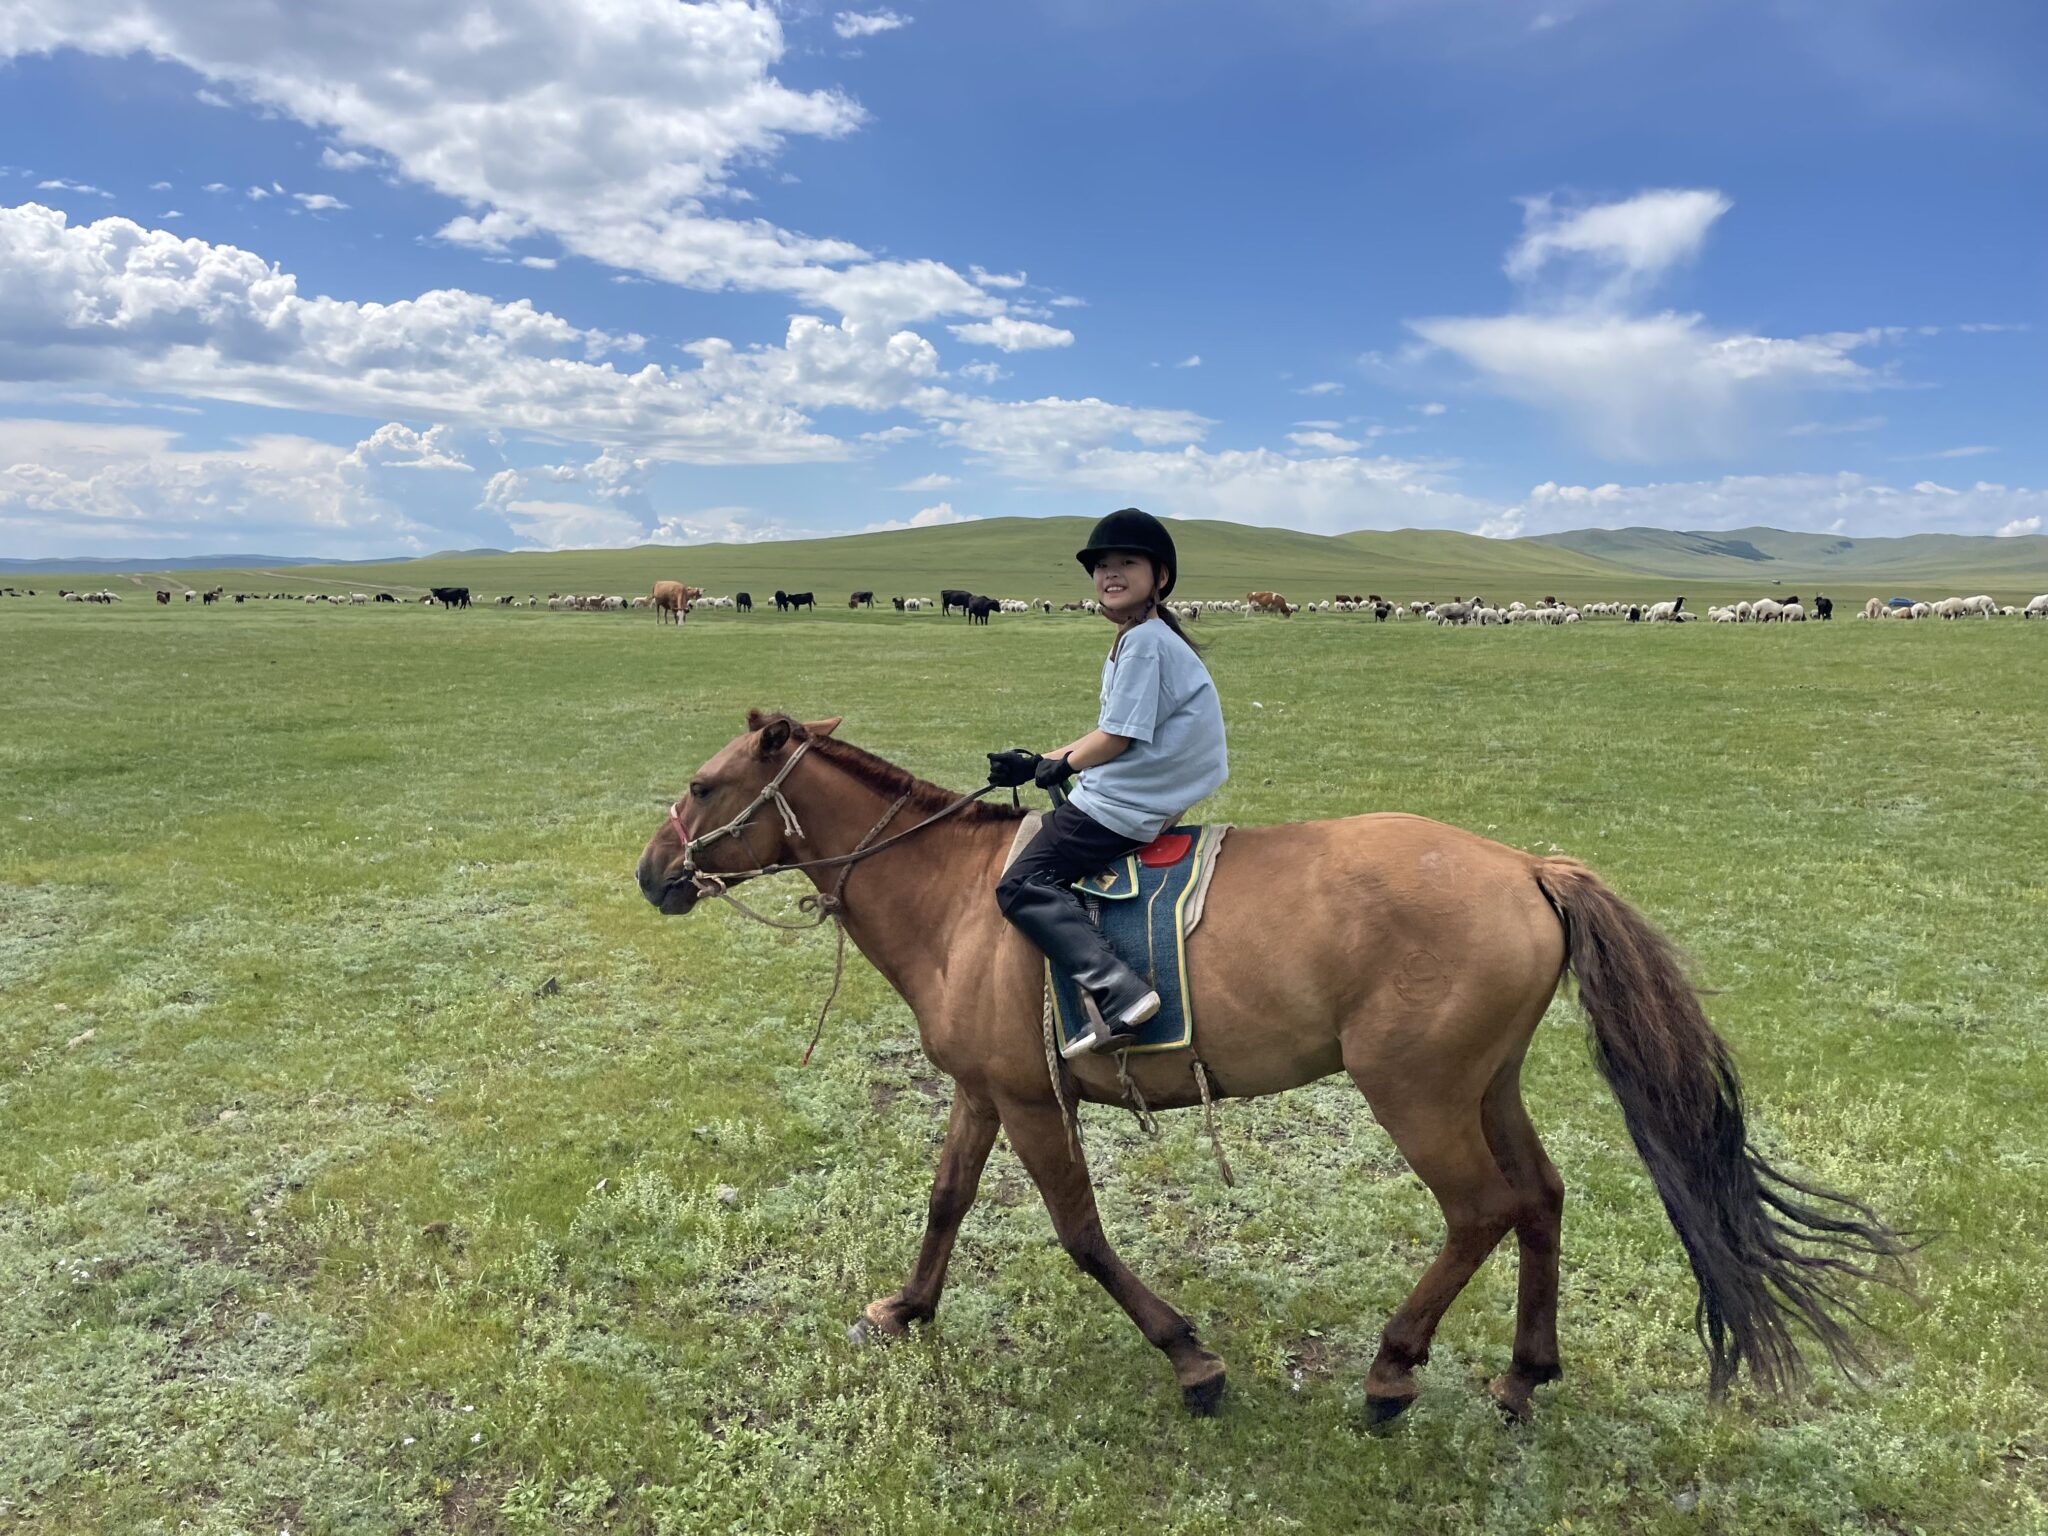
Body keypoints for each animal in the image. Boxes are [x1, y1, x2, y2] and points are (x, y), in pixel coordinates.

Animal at [636, 713, 1907, 1424]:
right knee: (1540, 1198)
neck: (956, 901)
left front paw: (1190, 1360)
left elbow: (1080, 1236)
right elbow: (945, 1199)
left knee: (1480, 1210)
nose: (652, 873)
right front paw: (902, 1310)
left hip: (1416, 1094)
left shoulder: (1034, 1103)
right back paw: (1518, 1377)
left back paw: (1392, 1373)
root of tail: (1521, 866)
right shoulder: (983, 1093)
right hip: (1484, 1084)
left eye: (700, 787)